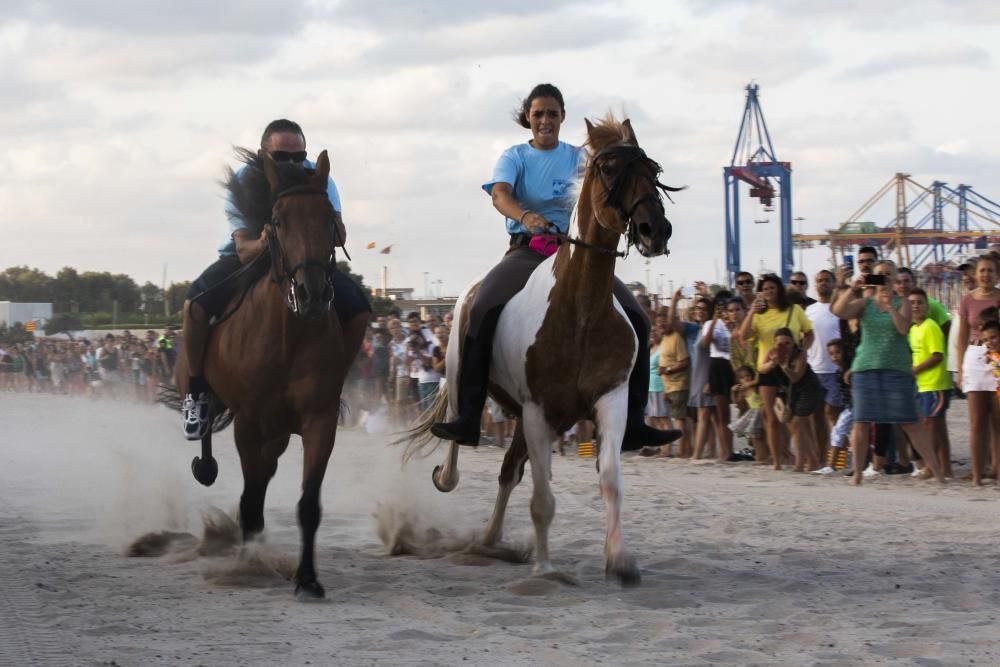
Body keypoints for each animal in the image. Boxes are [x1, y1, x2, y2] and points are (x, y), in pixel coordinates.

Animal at [175, 151, 364, 600]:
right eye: (277, 221)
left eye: (329, 217)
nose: (313, 293)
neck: (288, 336)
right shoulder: (249, 422)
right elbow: (250, 500)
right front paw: (249, 566)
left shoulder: (318, 420)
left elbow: (308, 504)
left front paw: (307, 577)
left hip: (279, 433)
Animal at [408, 116, 680, 584]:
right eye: (609, 169)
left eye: (653, 169)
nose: (655, 230)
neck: (580, 313)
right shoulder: (538, 411)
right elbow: (543, 498)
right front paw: (545, 568)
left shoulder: (610, 401)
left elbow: (610, 482)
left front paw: (619, 561)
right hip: (467, 380)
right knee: (458, 430)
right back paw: (448, 479)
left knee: (508, 471)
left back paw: (490, 541)